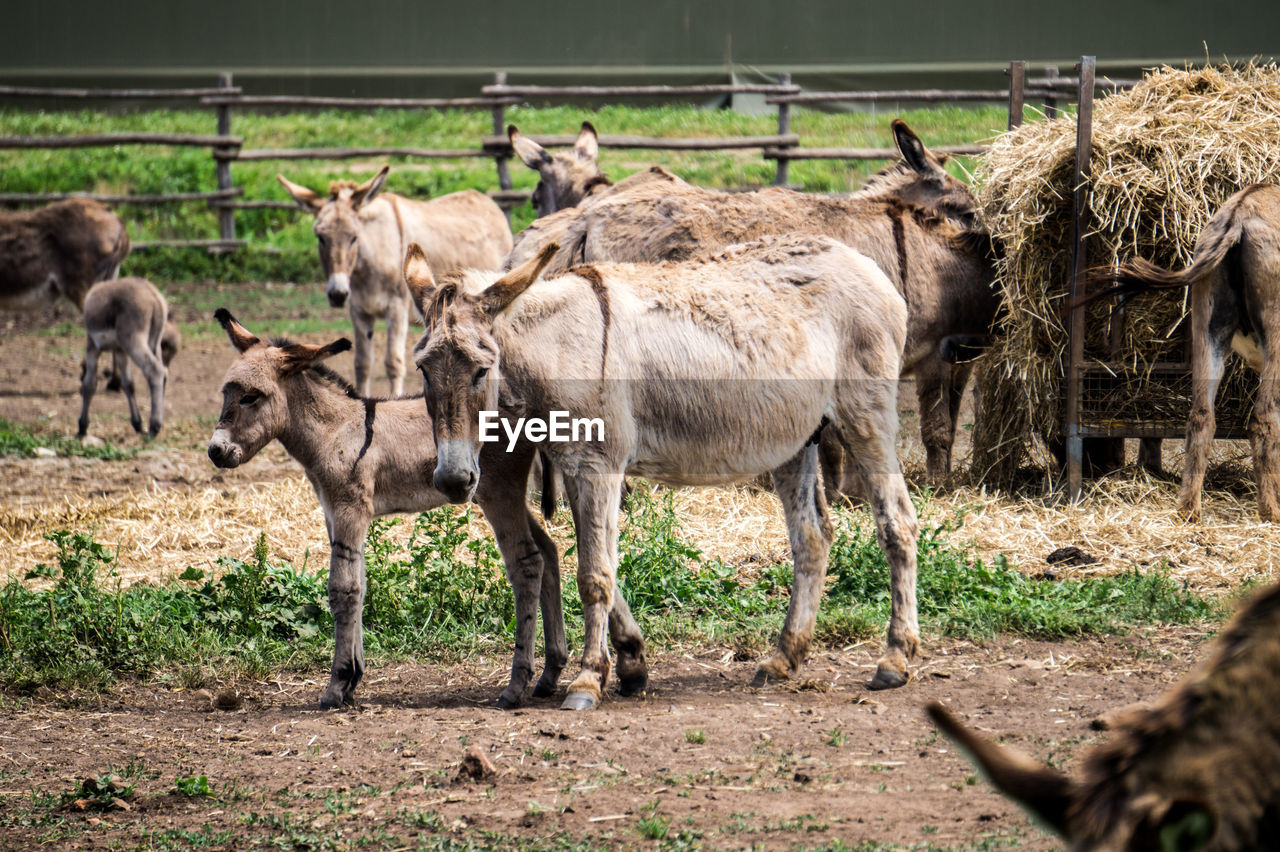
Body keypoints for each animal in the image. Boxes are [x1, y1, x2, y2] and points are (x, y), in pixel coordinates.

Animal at [206, 308, 565, 706]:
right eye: (226, 394)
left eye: (252, 397)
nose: (216, 452)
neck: (336, 430)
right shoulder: (335, 514)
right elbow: (360, 583)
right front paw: (353, 678)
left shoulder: (349, 509)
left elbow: (343, 590)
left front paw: (336, 685)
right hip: (508, 497)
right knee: (548, 553)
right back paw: (549, 674)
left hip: (500, 494)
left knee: (527, 564)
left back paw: (516, 685)